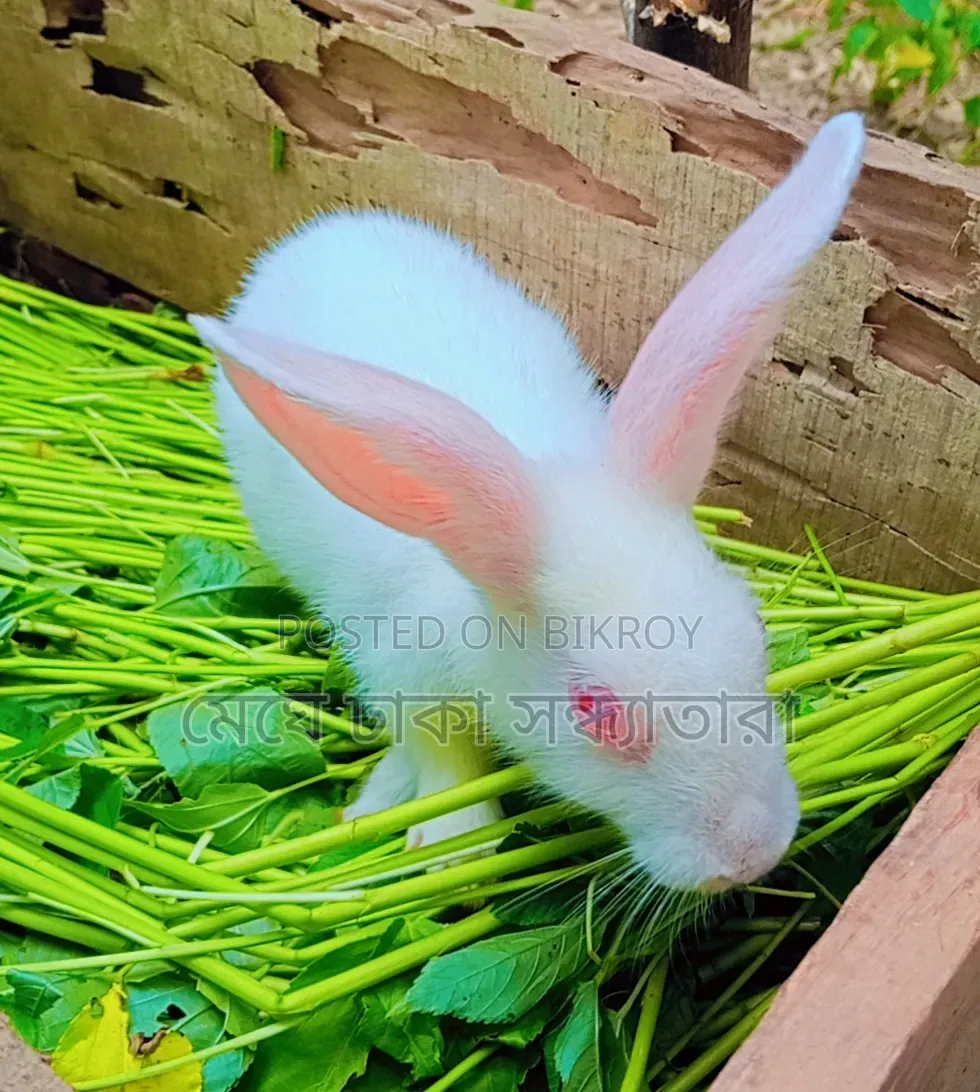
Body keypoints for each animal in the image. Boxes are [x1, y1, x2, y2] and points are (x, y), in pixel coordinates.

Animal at [190, 112, 866, 893]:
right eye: (594, 711)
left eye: (754, 632)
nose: (752, 855)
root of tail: (321, 234)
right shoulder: (406, 678)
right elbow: (441, 759)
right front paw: (452, 844)